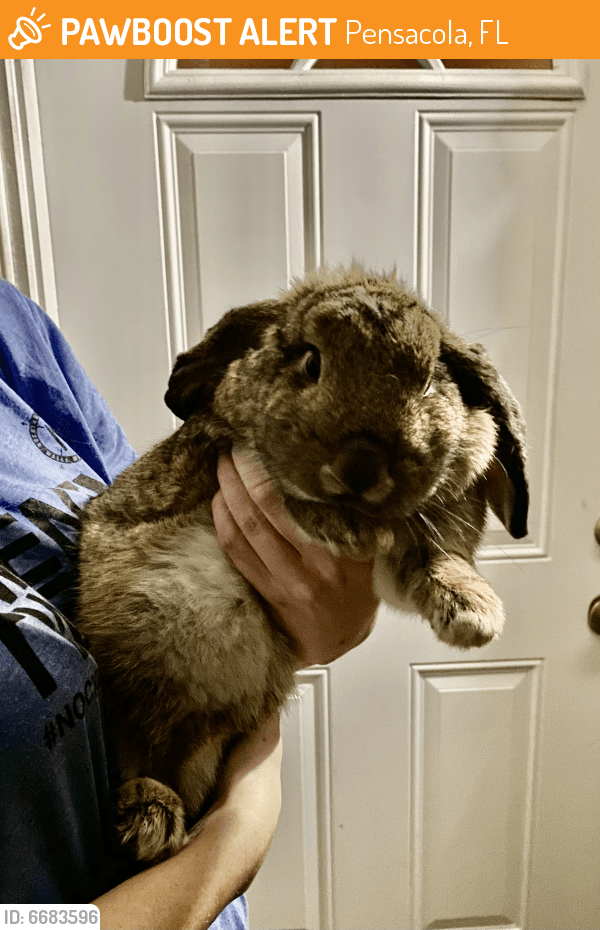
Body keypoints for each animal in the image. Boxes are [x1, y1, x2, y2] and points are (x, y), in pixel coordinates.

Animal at [76, 266, 528, 864]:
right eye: (312, 362)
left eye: (430, 382)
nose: (360, 468)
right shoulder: (215, 459)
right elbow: (285, 490)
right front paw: (350, 529)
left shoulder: (415, 550)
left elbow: (434, 558)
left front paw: (474, 617)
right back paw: (149, 818)